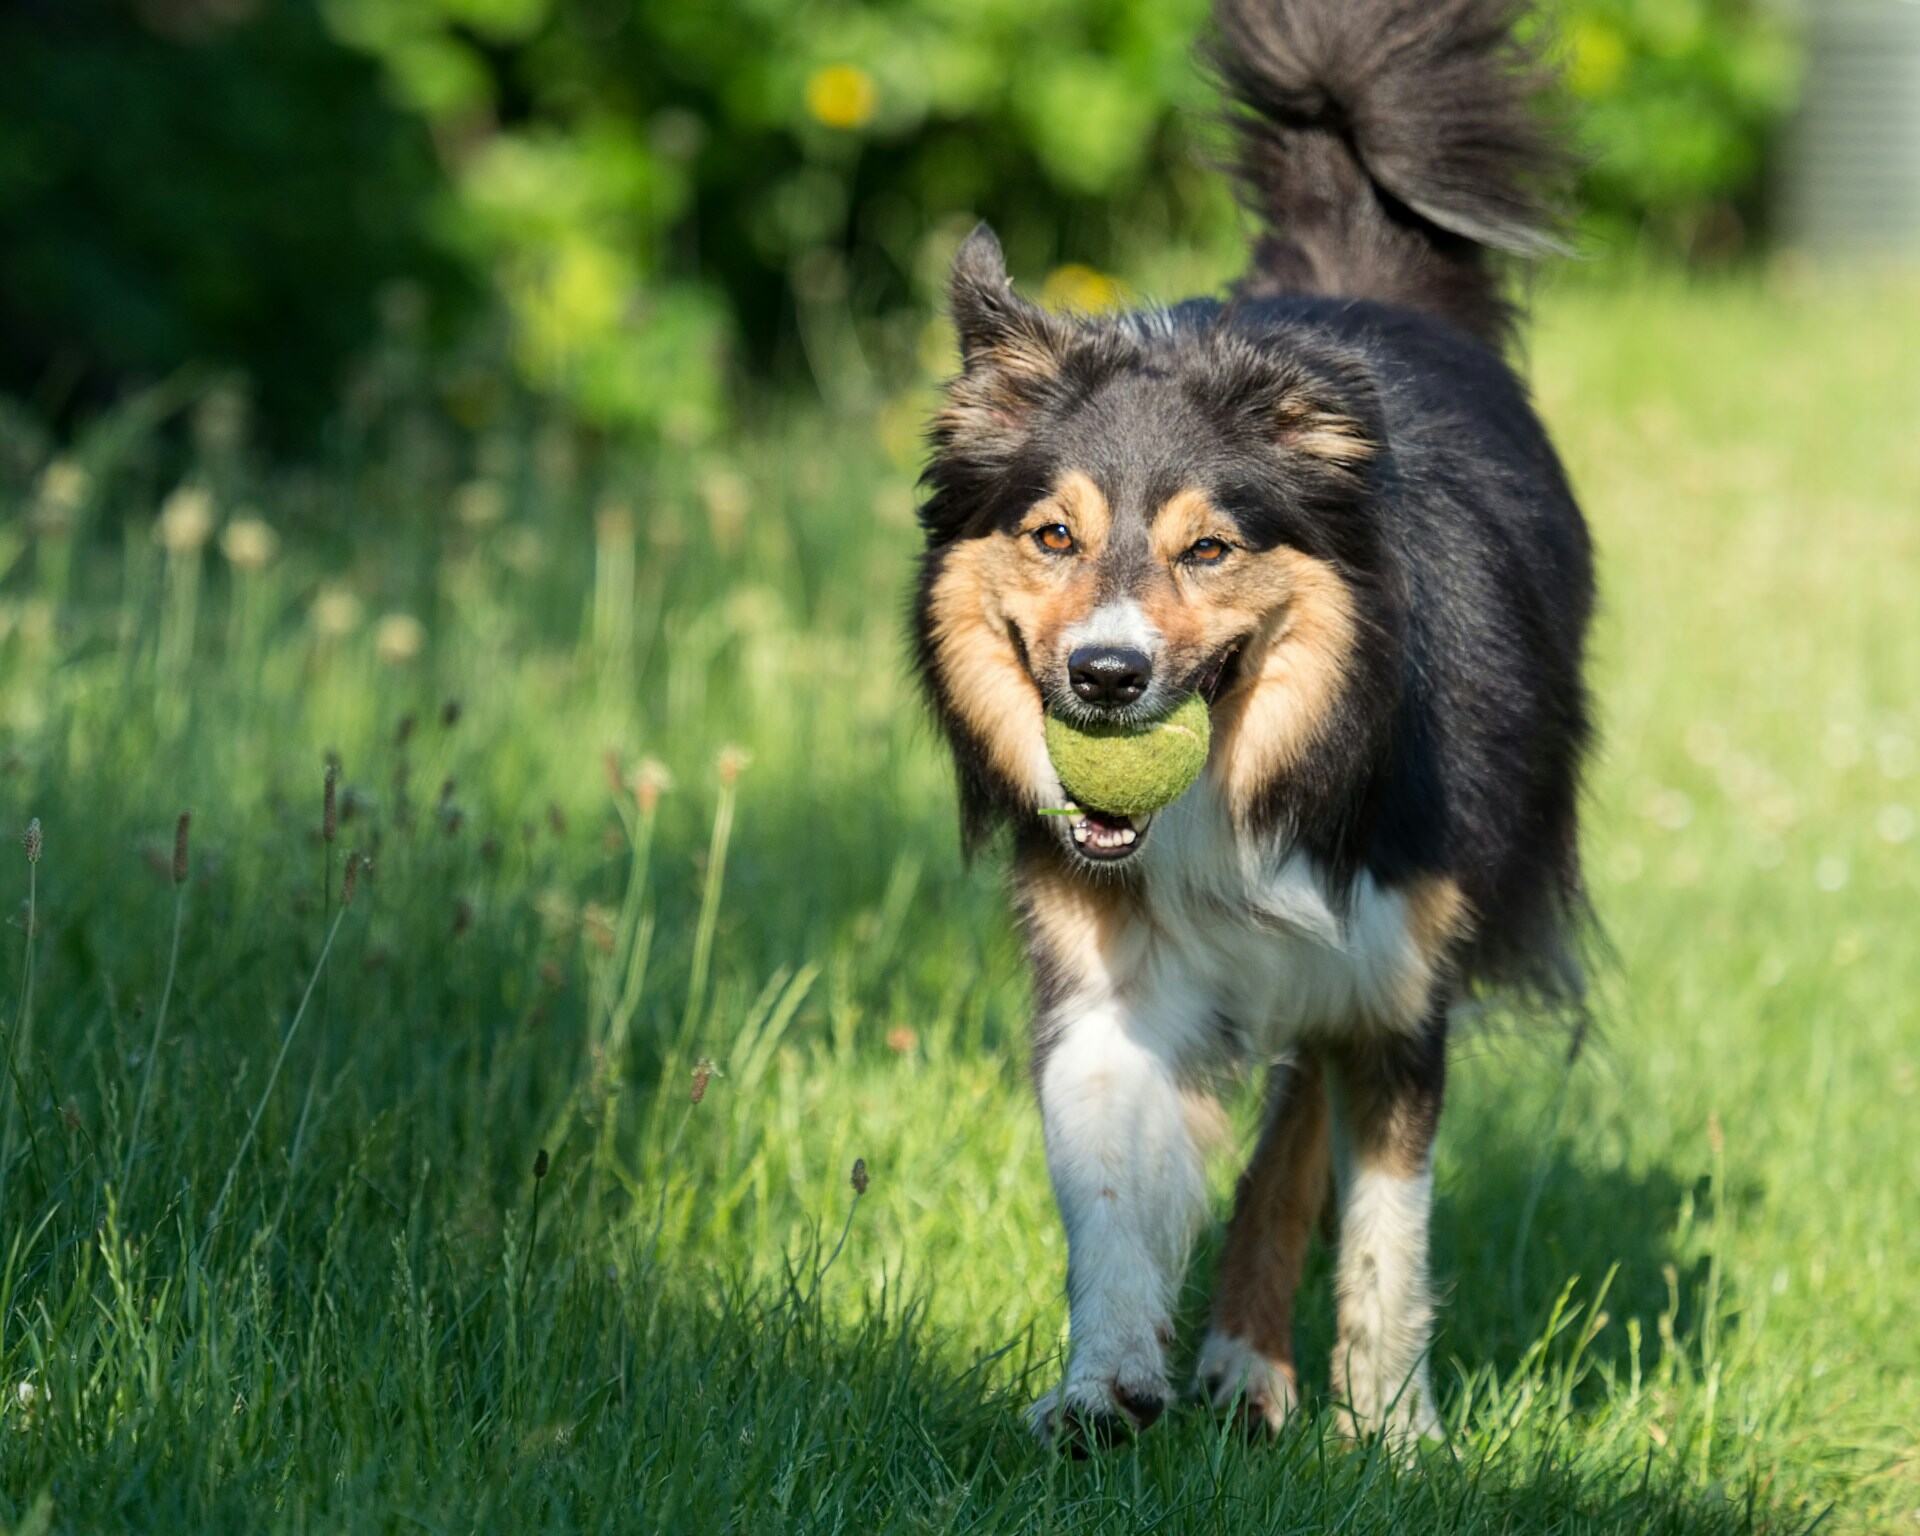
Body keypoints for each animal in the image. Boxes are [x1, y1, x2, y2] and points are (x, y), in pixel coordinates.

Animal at [913, 0, 1589, 1451]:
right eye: (1052, 536)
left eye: (1209, 549)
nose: (1105, 678)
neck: (1244, 777)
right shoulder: (1105, 961)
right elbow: (1110, 1178)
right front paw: (1105, 1385)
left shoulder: (1395, 973)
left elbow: (1387, 1229)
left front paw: (1393, 1438)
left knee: (1297, 1115)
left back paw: (1248, 1357)